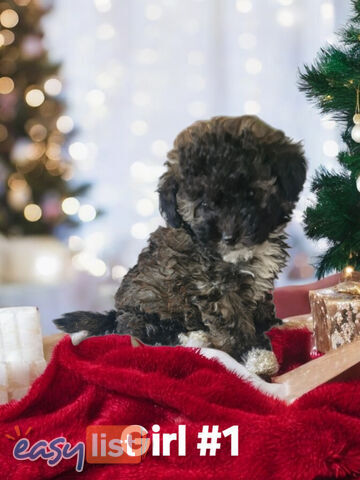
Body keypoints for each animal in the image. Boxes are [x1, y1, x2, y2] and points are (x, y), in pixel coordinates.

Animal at [54, 116, 306, 376]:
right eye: (203, 204)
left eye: (251, 193)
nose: (229, 236)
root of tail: (115, 314)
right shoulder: (214, 288)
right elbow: (234, 322)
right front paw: (255, 355)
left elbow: (262, 302)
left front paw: (272, 323)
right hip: (146, 306)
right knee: (148, 332)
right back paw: (194, 337)